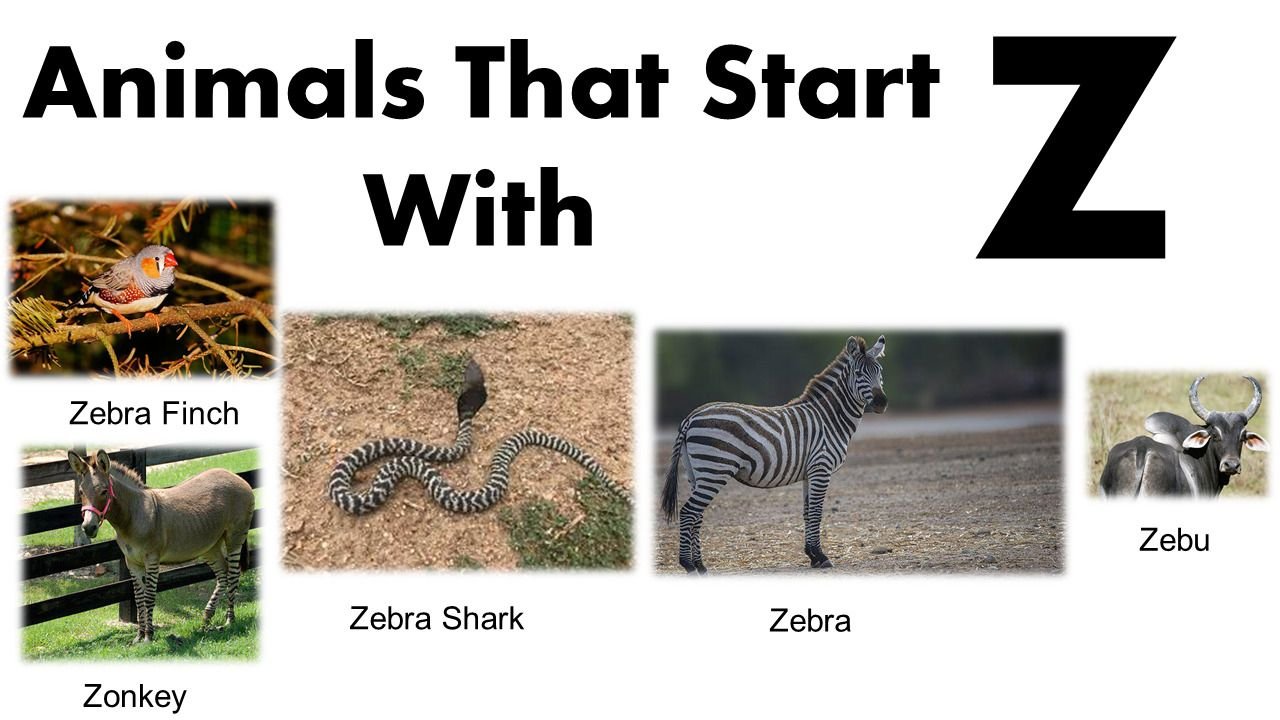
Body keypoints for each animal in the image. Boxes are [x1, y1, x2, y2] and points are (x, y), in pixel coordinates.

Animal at [661, 335, 888, 573]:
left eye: (879, 371)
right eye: (858, 373)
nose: (881, 403)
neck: (829, 418)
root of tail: (691, 416)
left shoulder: (810, 472)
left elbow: (808, 512)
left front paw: (812, 556)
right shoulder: (821, 468)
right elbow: (817, 512)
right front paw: (821, 556)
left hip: (697, 473)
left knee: (697, 515)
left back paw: (701, 565)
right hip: (714, 470)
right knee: (689, 512)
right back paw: (688, 565)